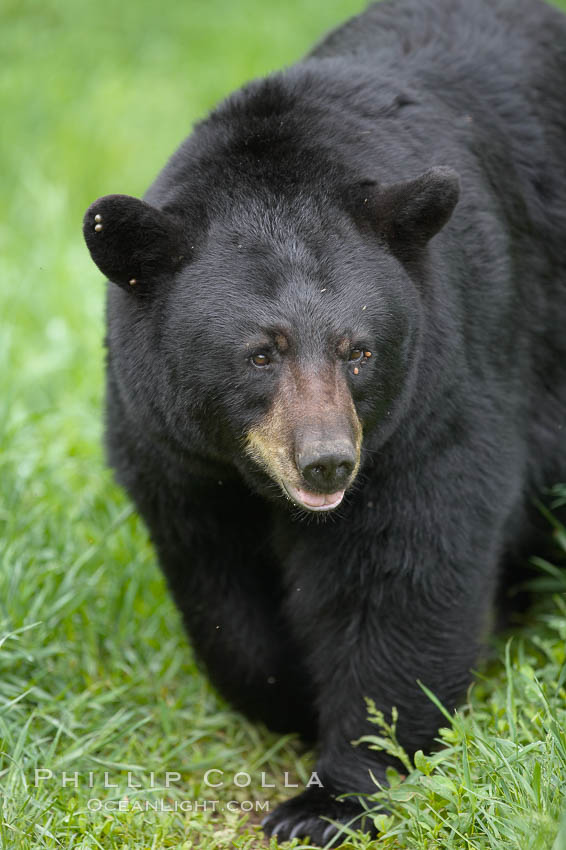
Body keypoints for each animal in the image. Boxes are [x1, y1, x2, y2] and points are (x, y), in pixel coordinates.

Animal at [83, 0, 566, 840]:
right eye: (259, 354)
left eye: (359, 350)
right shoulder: (172, 454)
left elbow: (407, 577)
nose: (327, 461)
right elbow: (221, 591)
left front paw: (331, 799)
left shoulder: (441, 396)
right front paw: (286, 693)